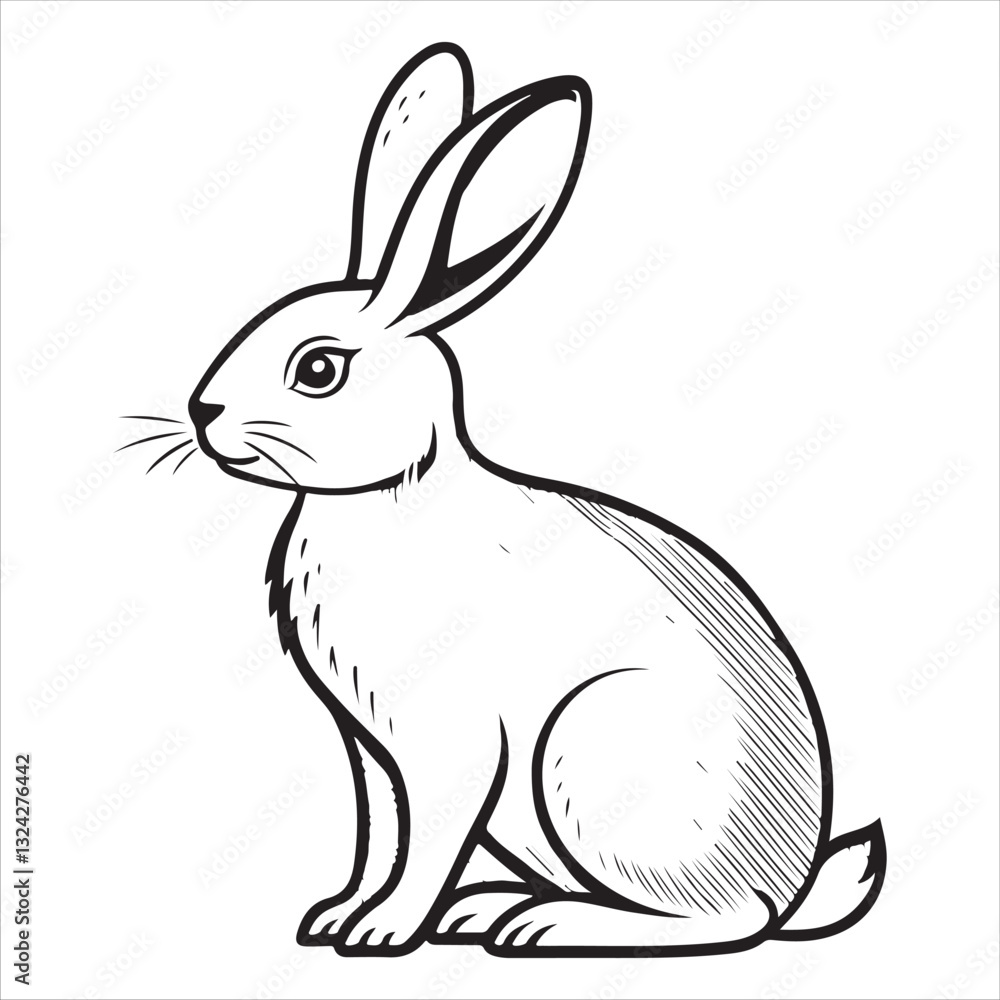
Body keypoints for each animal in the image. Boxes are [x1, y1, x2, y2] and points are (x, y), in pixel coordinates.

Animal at [177, 43, 885, 957]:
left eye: (318, 369)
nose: (202, 412)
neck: (392, 495)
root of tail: (791, 876)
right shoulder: (370, 750)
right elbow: (380, 833)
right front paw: (335, 916)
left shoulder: (454, 739)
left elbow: (426, 837)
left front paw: (383, 932)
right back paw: (487, 909)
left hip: (589, 754)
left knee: (727, 919)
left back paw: (542, 925)